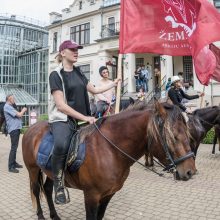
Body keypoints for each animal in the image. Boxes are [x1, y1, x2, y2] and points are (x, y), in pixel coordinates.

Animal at [22, 102, 195, 220]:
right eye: (173, 136)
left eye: (187, 133)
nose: (190, 171)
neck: (110, 150)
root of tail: (31, 129)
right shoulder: (91, 195)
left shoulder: (108, 194)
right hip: (33, 169)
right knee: (36, 190)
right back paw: (41, 215)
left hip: (51, 171)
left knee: (48, 189)